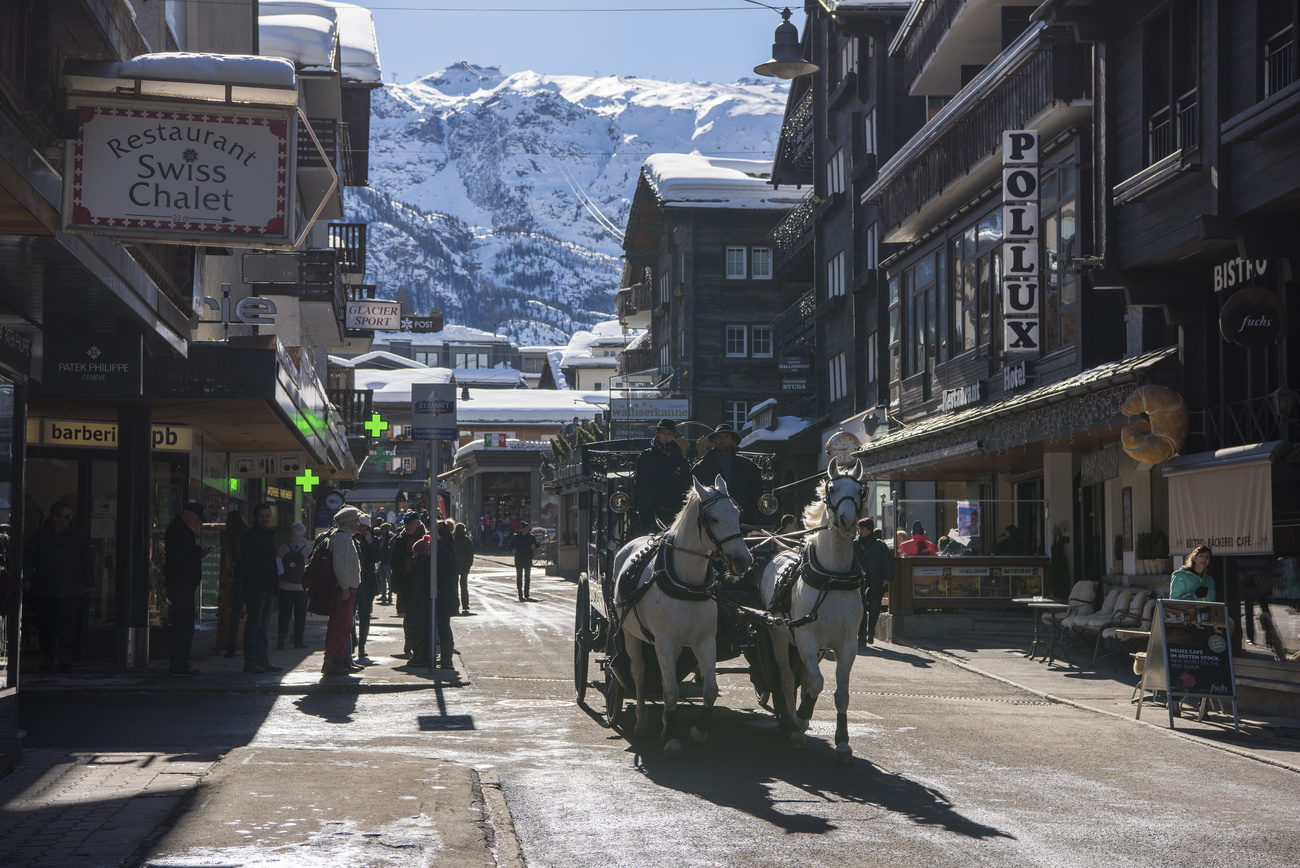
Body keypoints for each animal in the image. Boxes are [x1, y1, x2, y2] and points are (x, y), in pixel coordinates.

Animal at [613, 475, 759, 758]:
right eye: (712, 518)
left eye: (737, 513)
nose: (742, 561)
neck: (688, 583)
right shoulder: (664, 641)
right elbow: (670, 691)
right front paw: (672, 739)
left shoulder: (704, 640)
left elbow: (709, 690)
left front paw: (697, 733)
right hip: (629, 634)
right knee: (638, 672)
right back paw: (642, 722)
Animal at [759, 457, 868, 764]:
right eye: (832, 489)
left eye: (860, 491)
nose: (847, 521)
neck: (832, 577)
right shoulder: (805, 638)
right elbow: (817, 684)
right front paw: (800, 718)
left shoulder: (847, 644)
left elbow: (840, 693)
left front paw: (842, 742)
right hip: (780, 637)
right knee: (786, 678)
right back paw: (792, 720)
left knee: (806, 678)